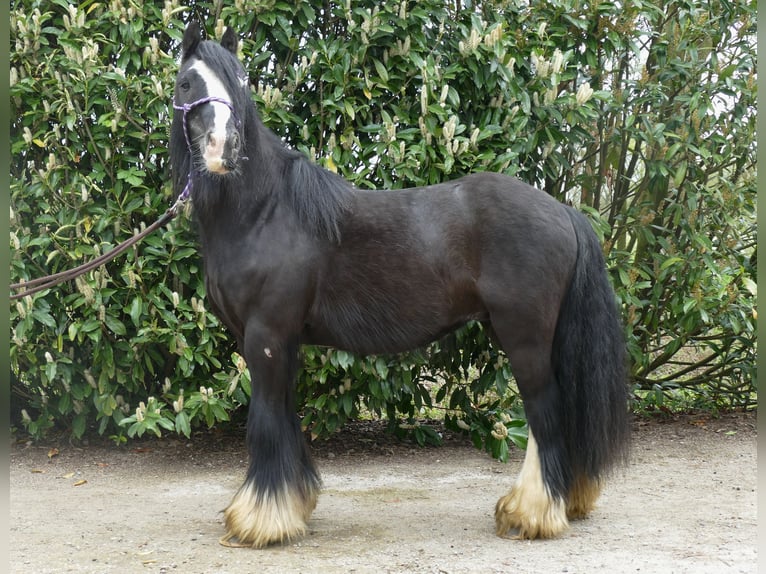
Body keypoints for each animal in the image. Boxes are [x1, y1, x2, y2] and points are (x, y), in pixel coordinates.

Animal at [172, 22, 632, 552]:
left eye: (241, 84)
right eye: (187, 83)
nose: (224, 150)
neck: (264, 210)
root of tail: (563, 211)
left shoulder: (266, 337)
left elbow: (265, 422)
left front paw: (259, 520)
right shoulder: (280, 342)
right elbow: (285, 418)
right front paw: (293, 506)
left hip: (525, 338)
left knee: (546, 413)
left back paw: (530, 514)